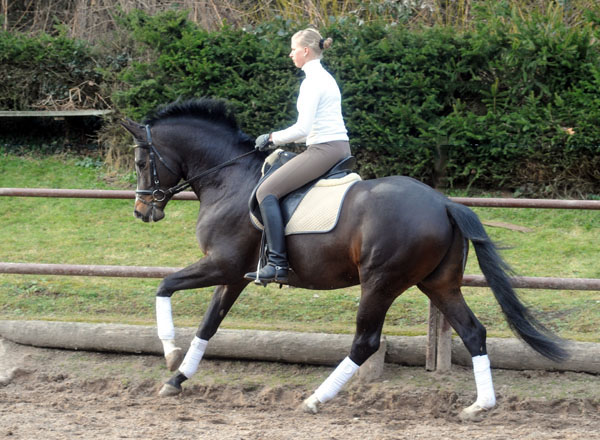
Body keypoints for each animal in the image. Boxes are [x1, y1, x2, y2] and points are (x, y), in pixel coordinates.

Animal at [123, 97, 568, 420]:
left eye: (142, 162)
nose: (142, 211)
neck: (227, 179)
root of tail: (444, 203)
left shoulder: (222, 265)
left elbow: (164, 286)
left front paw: (169, 353)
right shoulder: (234, 275)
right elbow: (208, 325)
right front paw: (177, 378)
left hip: (380, 282)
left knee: (365, 341)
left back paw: (316, 399)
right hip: (439, 284)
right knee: (473, 332)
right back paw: (480, 406)